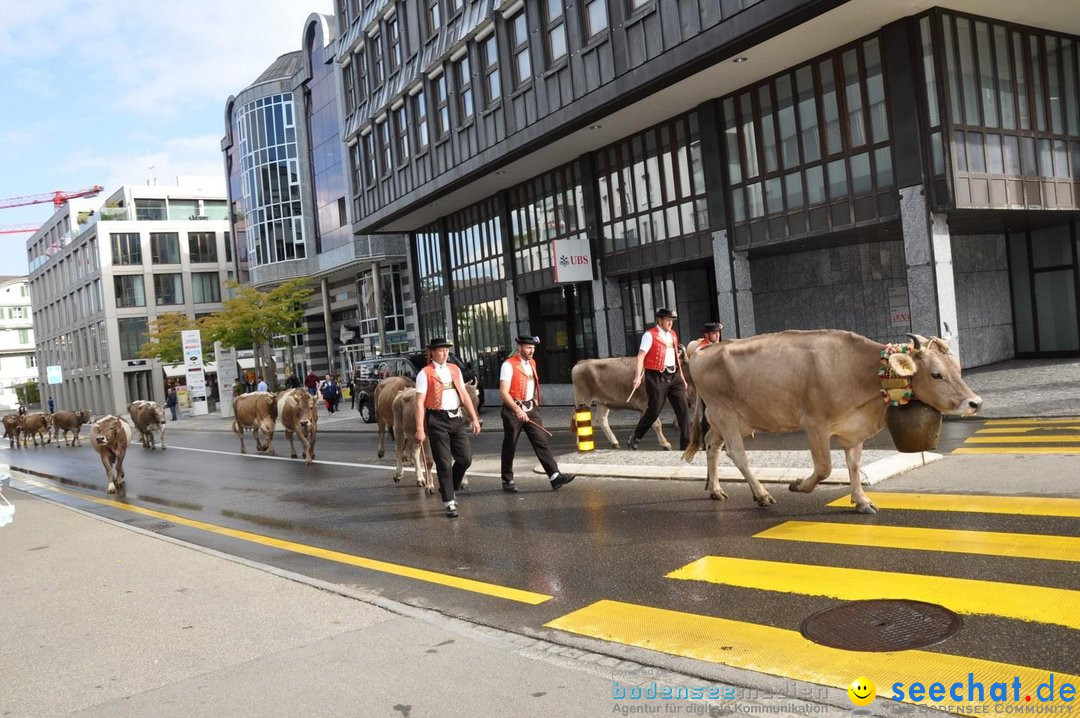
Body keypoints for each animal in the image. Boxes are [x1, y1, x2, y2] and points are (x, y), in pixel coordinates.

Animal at [686, 328, 984, 511]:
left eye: (957, 368)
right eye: (936, 374)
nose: (975, 403)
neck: (859, 371)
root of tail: (702, 350)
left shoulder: (854, 427)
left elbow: (854, 465)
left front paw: (862, 501)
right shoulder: (815, 424)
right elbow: (824, 468)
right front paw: (798, 485)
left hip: (731, 419)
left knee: (712, 444)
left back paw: (715, 489)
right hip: (725, 412)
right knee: (737, 453)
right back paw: (761, 494)